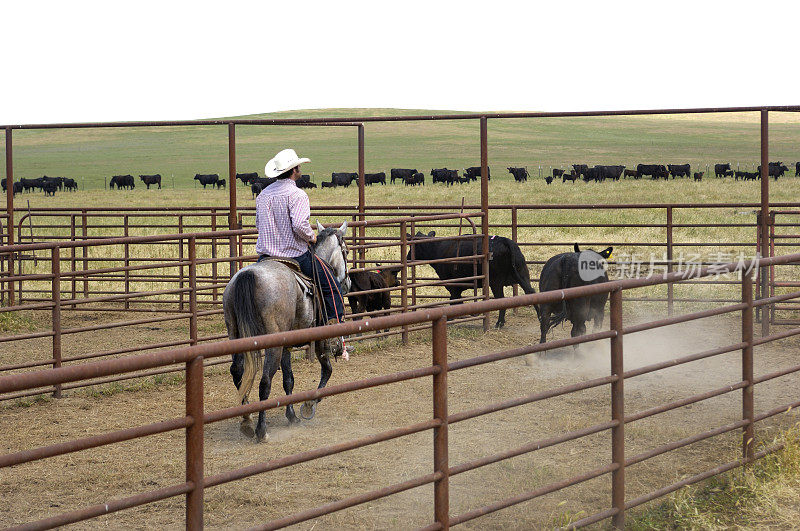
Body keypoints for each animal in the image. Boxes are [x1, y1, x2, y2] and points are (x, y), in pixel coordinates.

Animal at [223, 222, 352, 442]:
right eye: (346, 251)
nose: (348, 283)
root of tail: (248, 276)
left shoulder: (287, 345)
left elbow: (288, 380)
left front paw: (291, 416)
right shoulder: (319, 339)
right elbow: (327, 370)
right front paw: (308, 405)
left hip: (236, 335)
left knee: (238, 372)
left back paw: (247, 420)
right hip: (272, 344)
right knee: (265, 381)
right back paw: (261, 430)